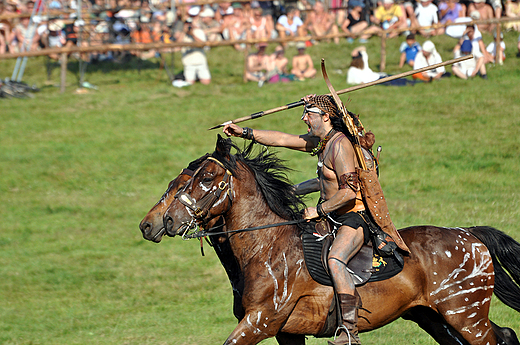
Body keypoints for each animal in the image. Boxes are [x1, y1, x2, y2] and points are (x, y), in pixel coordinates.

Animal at [161, 135, 520, 344]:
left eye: (207, 178)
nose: (166, 221)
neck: (266, 247)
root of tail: (470, 235)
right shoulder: (286, 333)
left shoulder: (261, 321)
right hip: (434, 317)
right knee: (504, 334)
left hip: (465, 314)